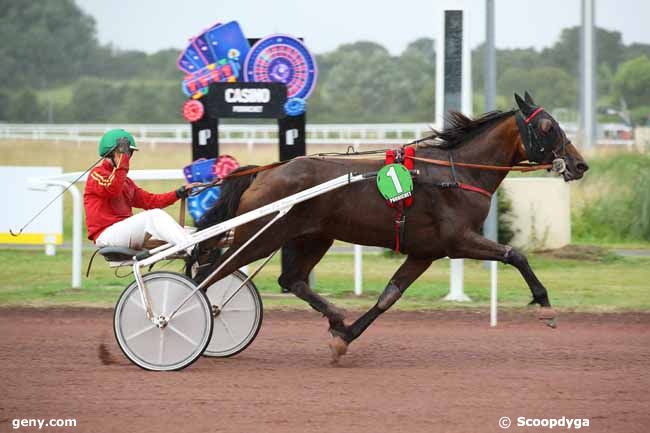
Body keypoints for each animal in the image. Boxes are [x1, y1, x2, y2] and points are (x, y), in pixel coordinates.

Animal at [187, 93, 588, 362]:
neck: (458, 173)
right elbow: (514, 254)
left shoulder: (425, 252)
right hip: (262, 235)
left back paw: (335, 316)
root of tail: (264, 171)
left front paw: (344, 337)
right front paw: (545, 306)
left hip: (314, 236)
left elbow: (388, 296)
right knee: (209, 275)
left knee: (291, 279)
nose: (579, 164)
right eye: (547, 126)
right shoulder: (459, 240)